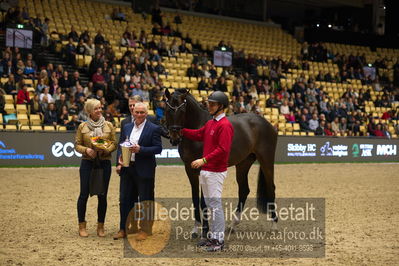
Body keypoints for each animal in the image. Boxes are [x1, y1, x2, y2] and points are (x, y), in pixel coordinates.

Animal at [162, 89, 278, 235]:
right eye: (167, 110)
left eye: (182, 110)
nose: (175, 138)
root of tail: (267, 123)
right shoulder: (190, 169)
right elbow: (195, 199)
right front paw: (196, 229)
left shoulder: (203, 169)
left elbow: (203, 201)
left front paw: (205, 231)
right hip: (243, 164)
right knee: (244, 190)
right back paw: (233, 225)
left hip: (266, 160)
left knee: (271, 188)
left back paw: (274, 225)